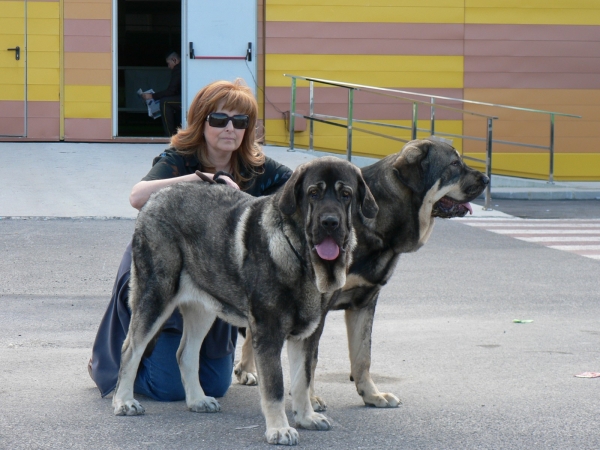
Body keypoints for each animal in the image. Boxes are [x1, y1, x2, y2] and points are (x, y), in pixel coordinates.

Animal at [110, 156, 378, 444]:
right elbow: (275, 386)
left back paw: (197, 400)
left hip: (203, 309)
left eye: (346, 195)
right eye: (313, 193)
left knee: (185, 353)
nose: (330, 222)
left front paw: (306, 417)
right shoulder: (268, 334)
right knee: (130, 348)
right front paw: (279, 429)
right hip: (156, 296)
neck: (302, 258)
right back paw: (124, 402)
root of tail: (155, 197)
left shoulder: (308, 335)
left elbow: (302, 380)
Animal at [232, 138, 490, 412]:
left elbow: (362, 355)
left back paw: (245, 369)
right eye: (454, 165)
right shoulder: (319, 307)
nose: (486, 179)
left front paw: (371, 394)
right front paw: (310, 399)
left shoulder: (365, 301)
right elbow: (310, 360)